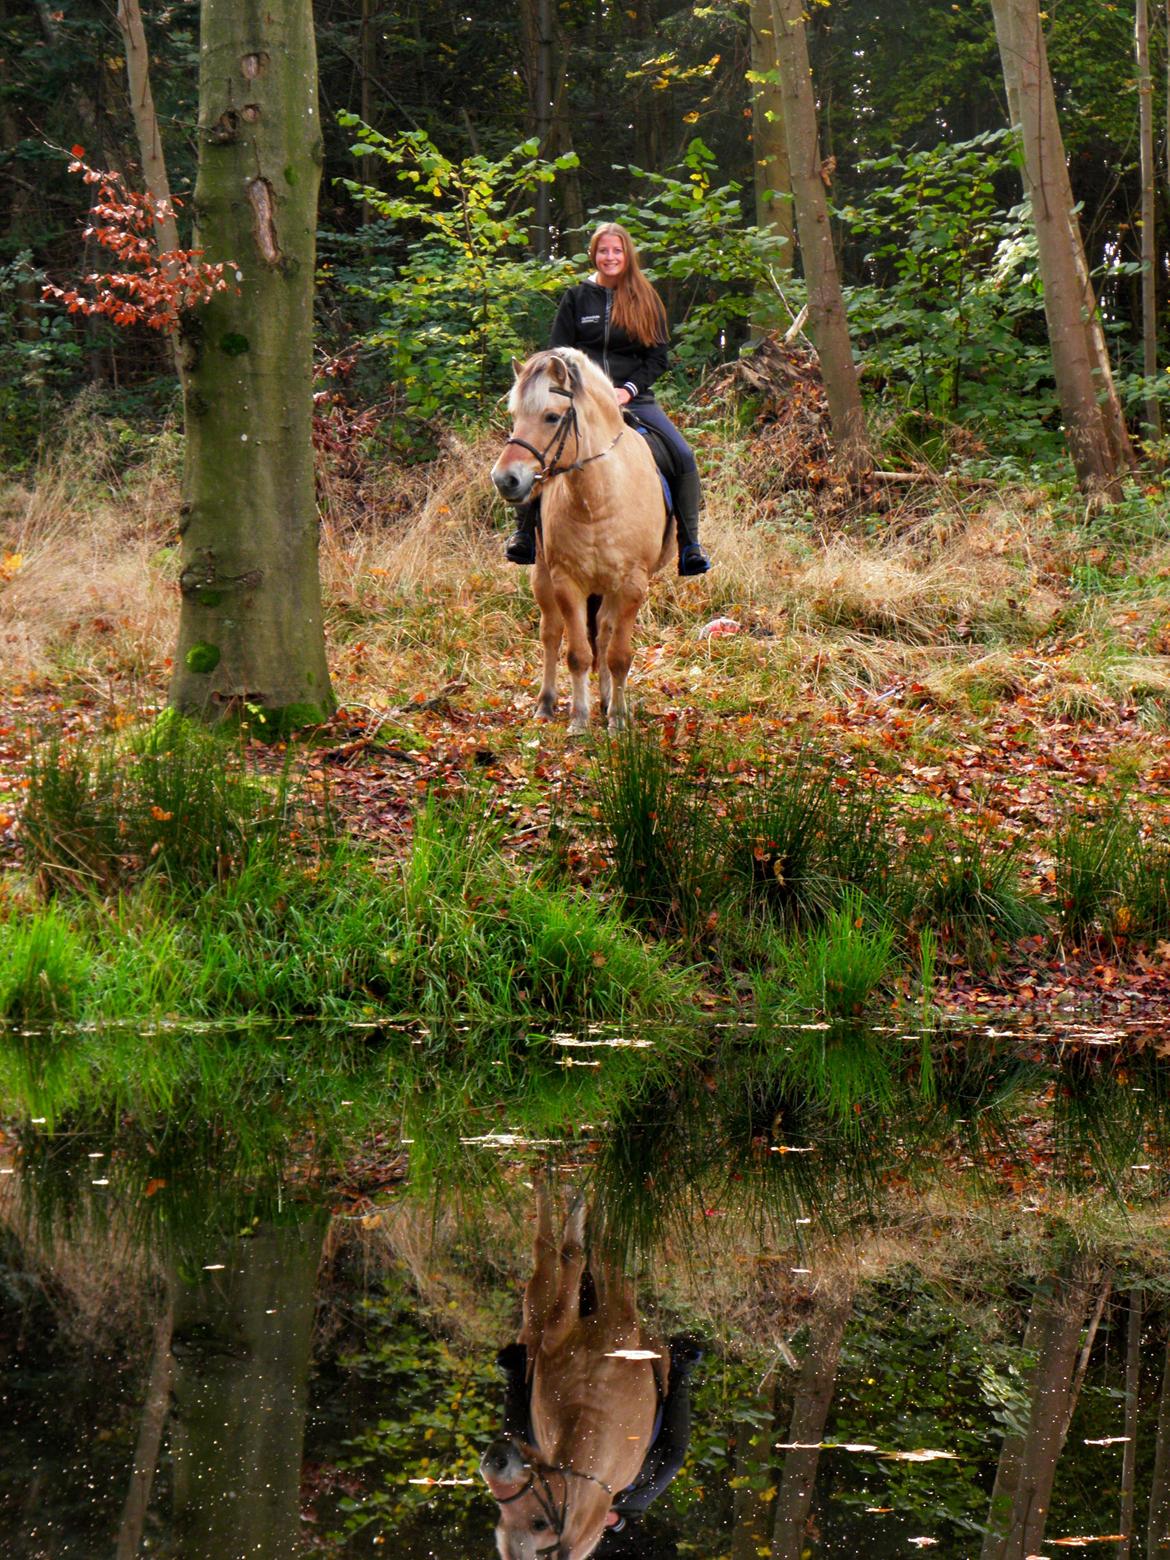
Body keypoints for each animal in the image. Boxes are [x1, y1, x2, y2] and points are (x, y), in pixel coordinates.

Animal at [477, 1185, 667, 1553]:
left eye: (537, 1524)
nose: (494, 1462)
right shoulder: (595, 1326)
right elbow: (587, 1255)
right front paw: (590, 1216)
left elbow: (602, 1256)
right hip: (541, 1307)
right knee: (546, 1250)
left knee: (547, 1249)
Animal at [496, 351, 677, 733]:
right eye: (515, 416)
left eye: (551, 416)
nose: (504, 480)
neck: (597, 499)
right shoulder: (567, 582)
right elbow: (578, 654)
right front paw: (579, 719)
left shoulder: (632, 585)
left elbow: (618, 655)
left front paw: (618, 719)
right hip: (543, 578)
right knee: (551, 633)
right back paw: (546, 705)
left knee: (605, 634)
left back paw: (607, 700)